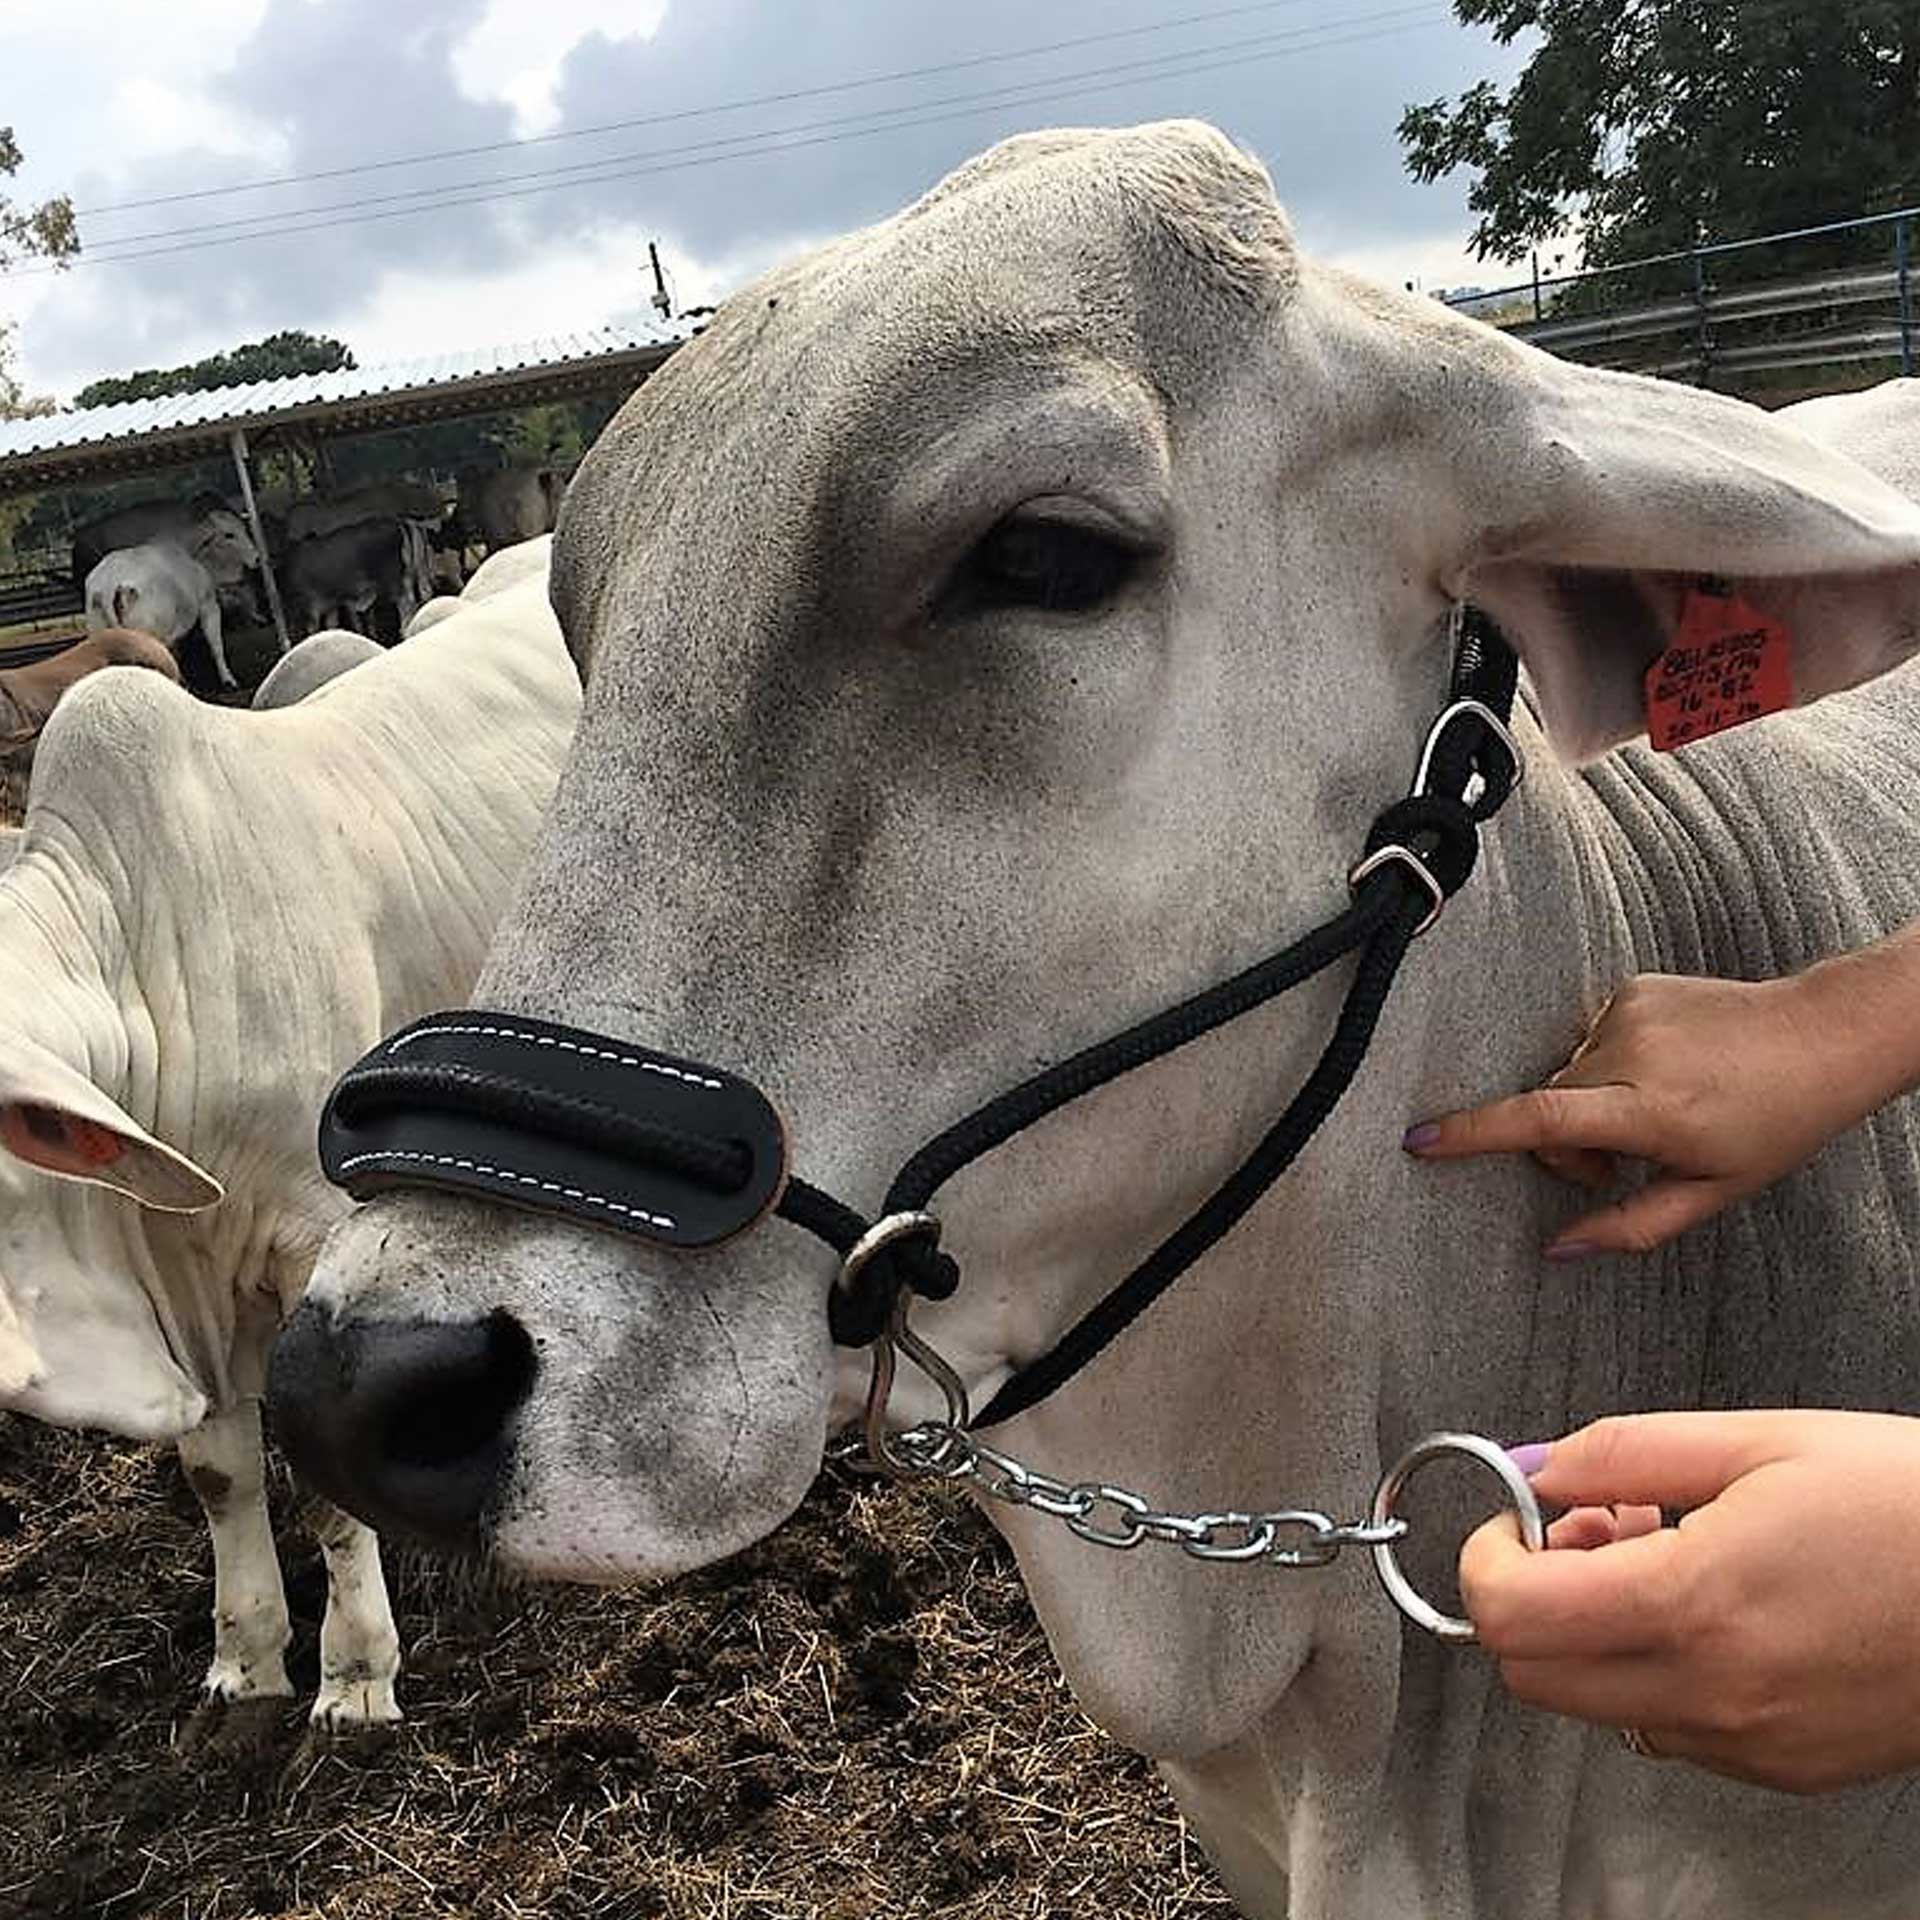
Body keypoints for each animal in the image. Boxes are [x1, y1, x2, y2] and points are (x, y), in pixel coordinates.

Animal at [0, 559, 577, 1738]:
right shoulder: (193, 1282)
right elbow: (220, 1474)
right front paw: (248, 1661)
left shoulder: (316, 1241)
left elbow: (318, 1478)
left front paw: (354, 1677)